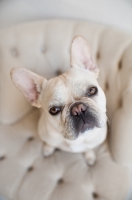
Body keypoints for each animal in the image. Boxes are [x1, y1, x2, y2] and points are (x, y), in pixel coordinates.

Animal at [10, 36, 107, 166]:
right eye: (54, 110)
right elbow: (50, 143)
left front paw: (89, 156)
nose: (78, 109)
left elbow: (89, 148)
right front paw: (48, 149)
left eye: (92, 90)